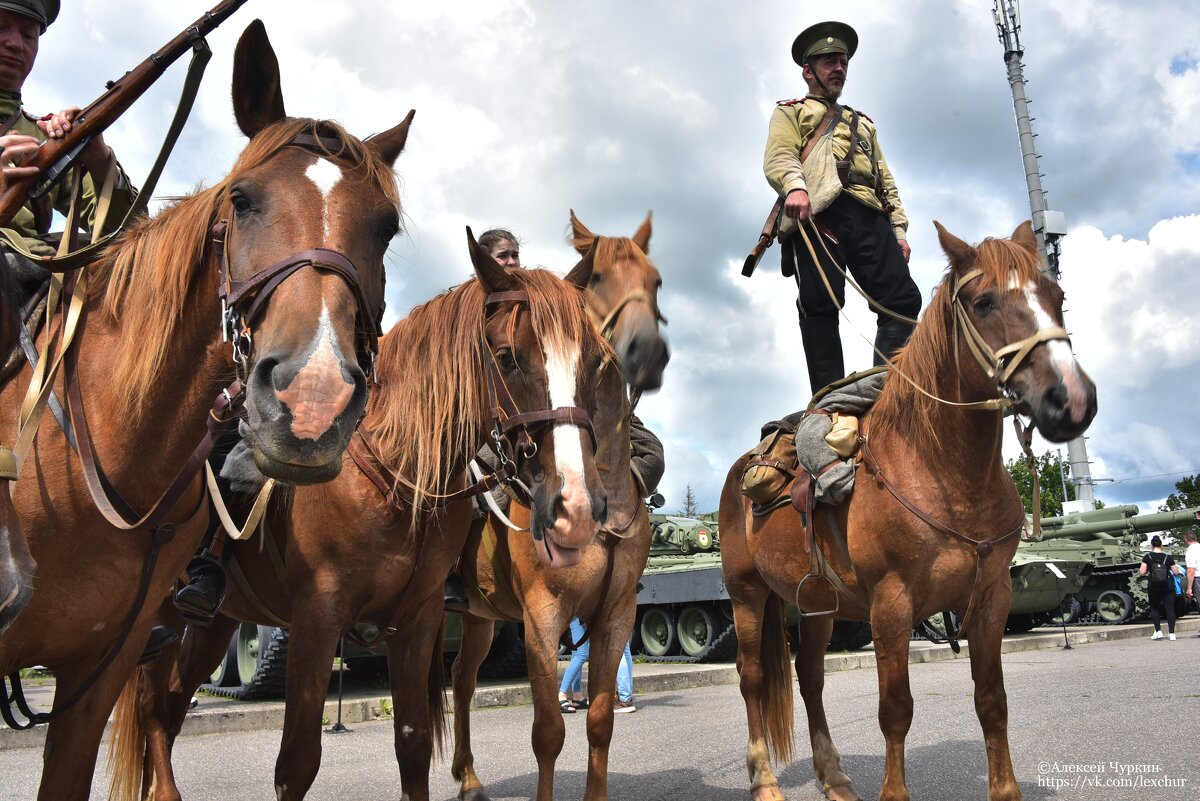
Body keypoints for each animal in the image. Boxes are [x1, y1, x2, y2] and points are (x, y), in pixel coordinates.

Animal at [110, 231, 619, 801]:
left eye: (594, 362)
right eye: (507, 357)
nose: (578, 508)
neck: (395, 479)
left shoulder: (417, 620)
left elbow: (414, 743)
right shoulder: (316, 619)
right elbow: (296, 763)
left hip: (214, 622)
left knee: (168, 706)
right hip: (165, 615)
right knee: (154, 706)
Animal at [451, 211, 672, 801]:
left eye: (656, 281)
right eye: (594, 279)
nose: (647, 352)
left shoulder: (615, 616)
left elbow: (599, 721)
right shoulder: (542, 617)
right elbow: (548, 731)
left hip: (479, 618)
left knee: (459, 681)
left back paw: (468, 776)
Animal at [720, 221, 1099, 801]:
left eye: (1056, 296)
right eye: (984, 301)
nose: (1072, 400)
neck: (943, 472)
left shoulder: (992, 598)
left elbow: (992, 703)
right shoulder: (891, 605)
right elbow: (895, 709)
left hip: (820, 606)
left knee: (810, 677)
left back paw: (834, 777)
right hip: (747, 595)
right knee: (753, 678)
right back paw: (764, 780)